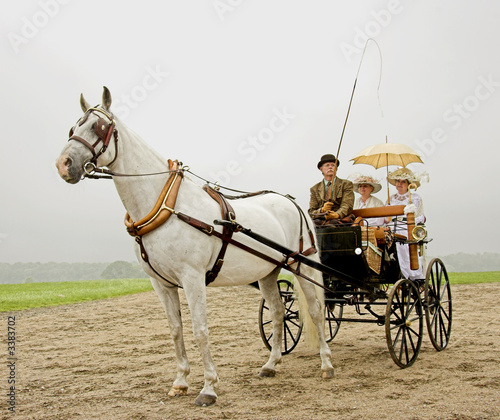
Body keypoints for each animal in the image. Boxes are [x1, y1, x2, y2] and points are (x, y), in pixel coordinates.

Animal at [54, 87, 332, 406]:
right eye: (73, 128)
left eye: (98, 127)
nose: (63, 164)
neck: (166, 205)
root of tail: (290, 201)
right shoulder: (161, 283)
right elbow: (176, 330)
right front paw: (180, 381)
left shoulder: (193, 277)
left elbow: (200, 330)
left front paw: (208, 387)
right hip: (268, 272)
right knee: (277, 312)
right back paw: (271, 364)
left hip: (301, 265)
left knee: (315, 310)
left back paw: (326, 363)